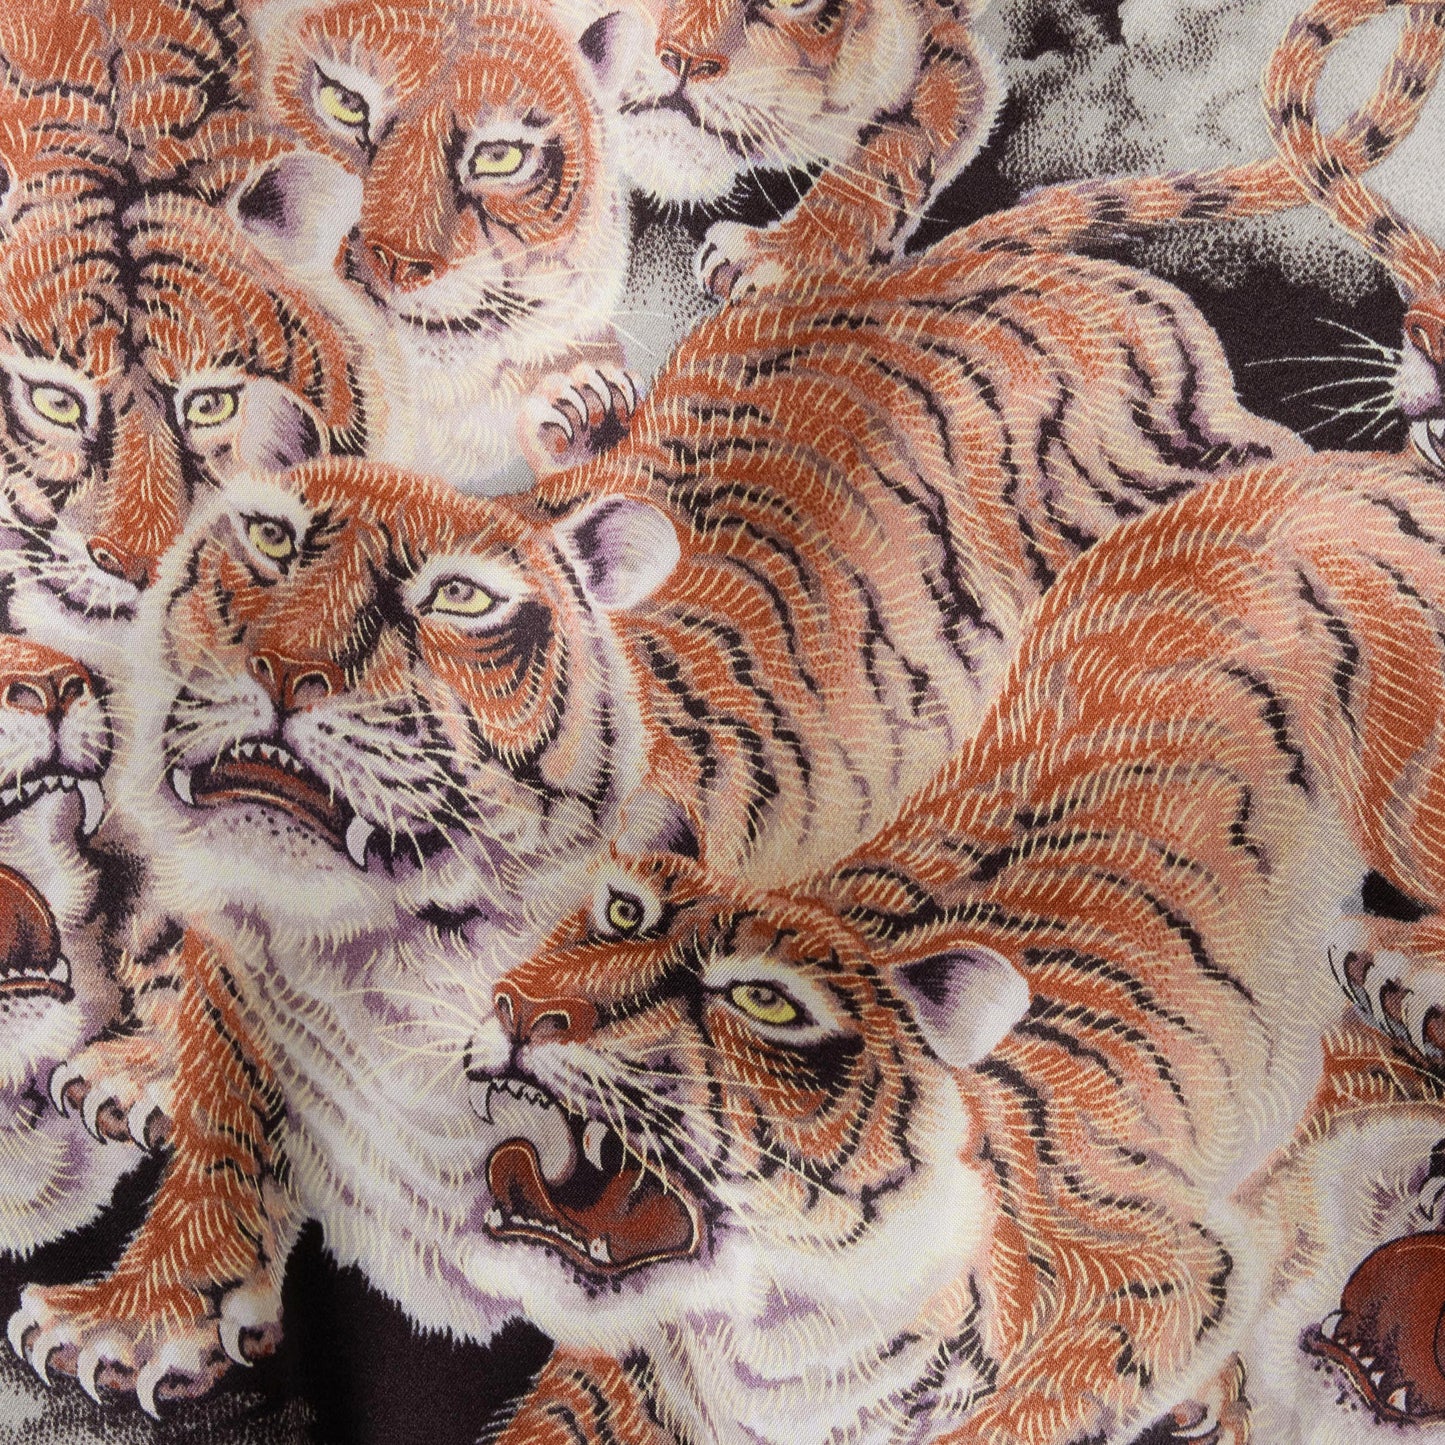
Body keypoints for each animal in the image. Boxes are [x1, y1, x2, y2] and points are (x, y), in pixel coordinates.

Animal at [462, 450, 1445, 1445]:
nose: (522, 1010)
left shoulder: (1159, 1268)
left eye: (761, 999)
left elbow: (1016, 1417)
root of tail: (1342, 468)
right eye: (622, 913)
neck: (768, 1337)